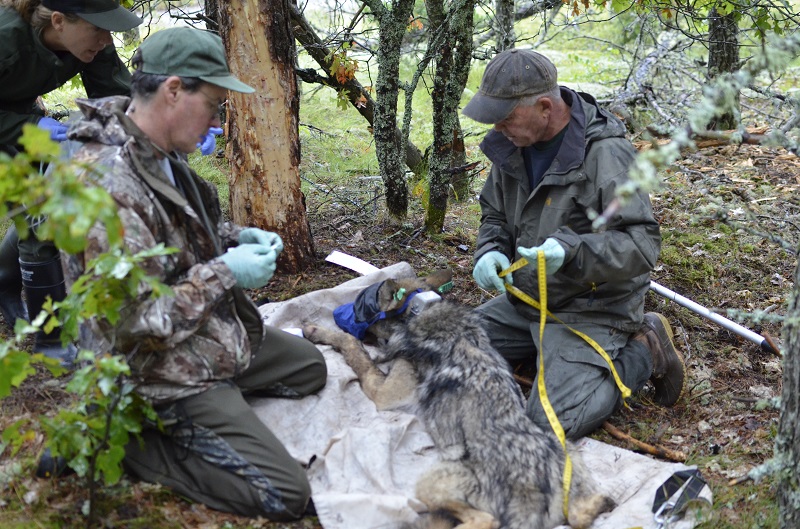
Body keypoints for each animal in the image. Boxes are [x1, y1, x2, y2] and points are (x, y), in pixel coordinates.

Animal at [304, 270, 616, 524]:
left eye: (360, 304)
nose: (335, 310)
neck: (420, 315)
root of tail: (534, 498)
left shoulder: (385, 394)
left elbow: (354, 349)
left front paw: (317, 331)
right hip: (568, 449)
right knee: (580, 515)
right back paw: (604, 501)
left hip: (431, 482)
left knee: (484, 520)